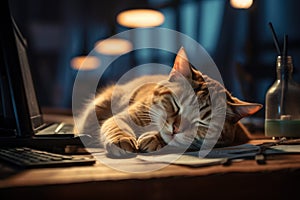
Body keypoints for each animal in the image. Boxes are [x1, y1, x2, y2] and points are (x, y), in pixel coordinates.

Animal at [76, 47, 262, 157]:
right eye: (176, 104)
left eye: (202, 122)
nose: (176, 128)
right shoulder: (125, 116)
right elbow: (116, 126)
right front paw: (122, 139)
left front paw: (154, 138)